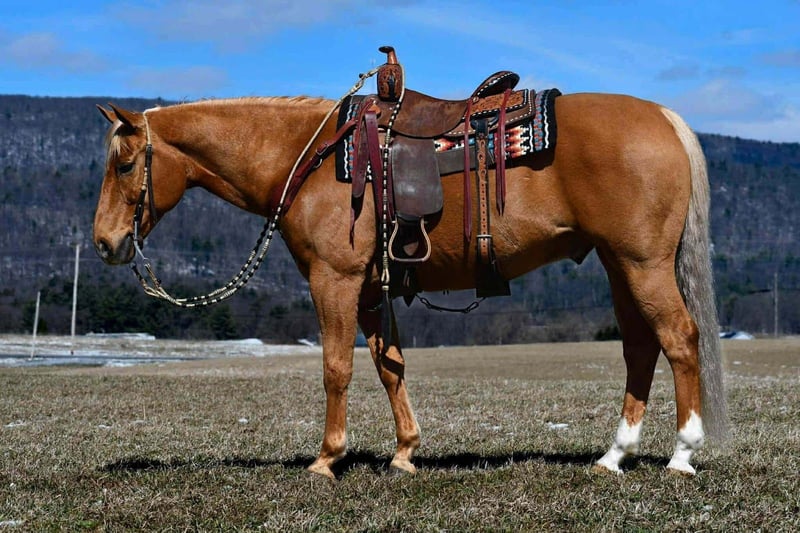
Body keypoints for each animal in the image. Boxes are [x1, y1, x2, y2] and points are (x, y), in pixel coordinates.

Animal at [92, 81, 728, 479]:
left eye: (124, 164)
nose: (104, 243)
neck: (309, 159)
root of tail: (665, 118)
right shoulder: (371, 290)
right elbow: (389, 365)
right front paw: (404, 452)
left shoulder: (335, 280)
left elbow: (337, 367)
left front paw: (327, 459)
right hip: (620, 265)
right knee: (641, 347)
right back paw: (614, 455)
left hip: (642, 264)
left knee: (679, 339)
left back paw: (681, 453)